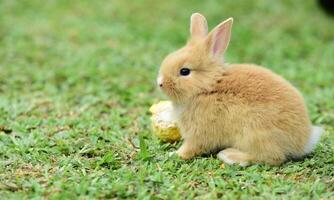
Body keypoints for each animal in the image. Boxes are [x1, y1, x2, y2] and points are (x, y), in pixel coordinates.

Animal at [157, 12, 324, 166]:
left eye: (185, 71)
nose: (160, 82)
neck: (207, 87)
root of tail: (304, 141)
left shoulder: (199, 134)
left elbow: (191, 148)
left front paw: (173, 155)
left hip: (255, 135)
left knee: (272, 158)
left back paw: (230, 156)